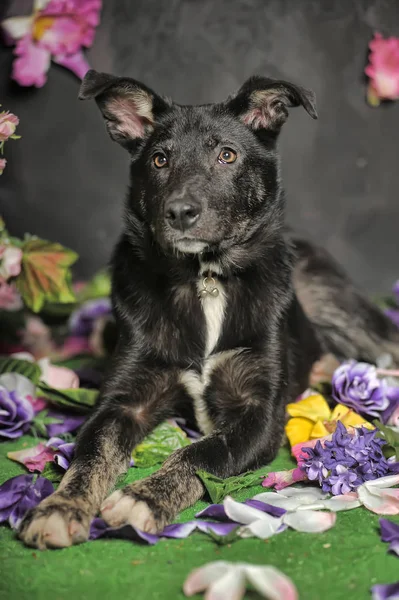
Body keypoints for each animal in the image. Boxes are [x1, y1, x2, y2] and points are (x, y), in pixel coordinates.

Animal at [18, 70, 399, 548]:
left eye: (227, 155)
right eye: (159, 160)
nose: (180, 212)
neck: (205, 277)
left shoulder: (260, 413)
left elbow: (200, 452)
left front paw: (143, 498)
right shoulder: (123, 401)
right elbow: (91, 453)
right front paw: (61, 506)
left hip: (343, 311)